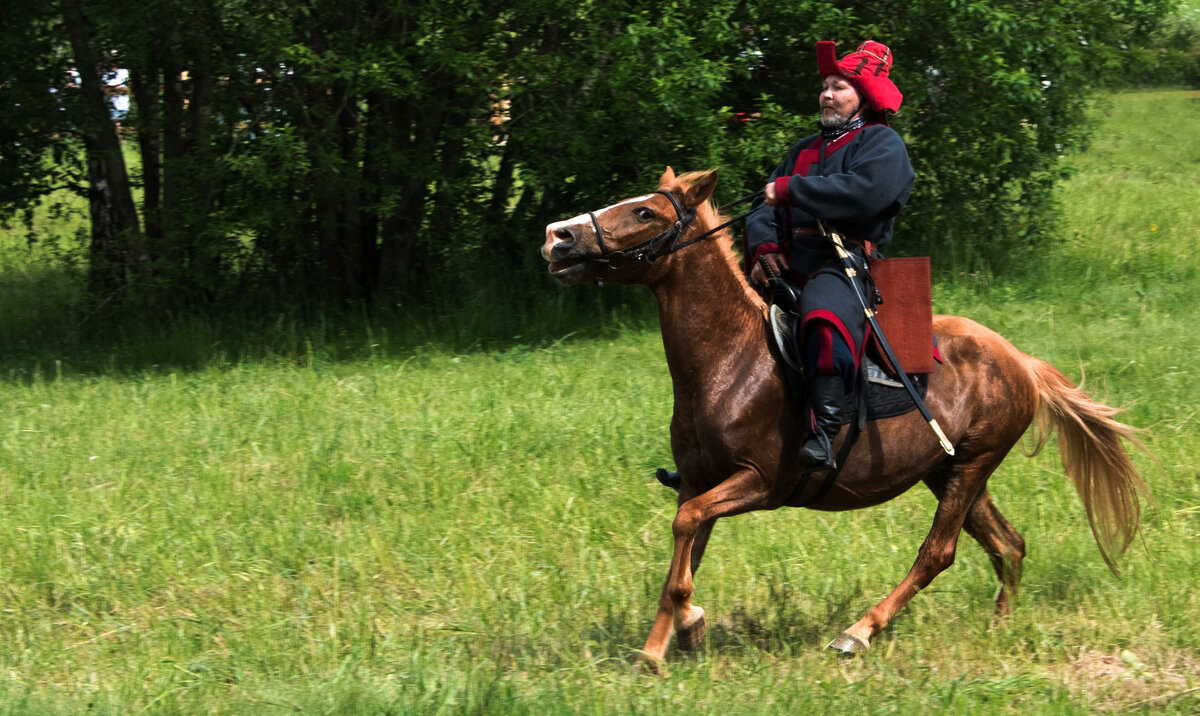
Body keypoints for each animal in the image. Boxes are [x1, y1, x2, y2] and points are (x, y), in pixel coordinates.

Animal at [540, 166, 1147, 666]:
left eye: (646, 212)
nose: (557, 235)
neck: (729, 359)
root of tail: (1020, 361)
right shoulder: (698, 480)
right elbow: (682, 555)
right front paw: (661, 645)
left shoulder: (757, 483)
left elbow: (685, 530)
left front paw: (685, 627)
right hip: (950, 471)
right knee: (1007, 545)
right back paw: (998, 629)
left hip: (974, 463)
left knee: (938, 552)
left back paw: (860, 631)